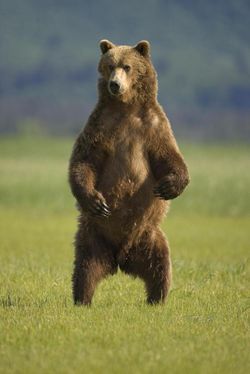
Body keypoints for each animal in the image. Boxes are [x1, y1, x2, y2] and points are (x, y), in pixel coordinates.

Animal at [68, 39, 189, 306]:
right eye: (110, 65)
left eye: (127, 66)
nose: (114, 84)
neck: (126, 107)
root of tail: (120, 258)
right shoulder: (100, 125)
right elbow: (85, 161)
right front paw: (96, 201)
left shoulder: (154, 126)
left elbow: (169, 157)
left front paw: (167, 187)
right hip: (93, 235)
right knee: (85, 268)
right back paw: (82, 299)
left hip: (149, 235)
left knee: (160, 266)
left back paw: (157, 299)